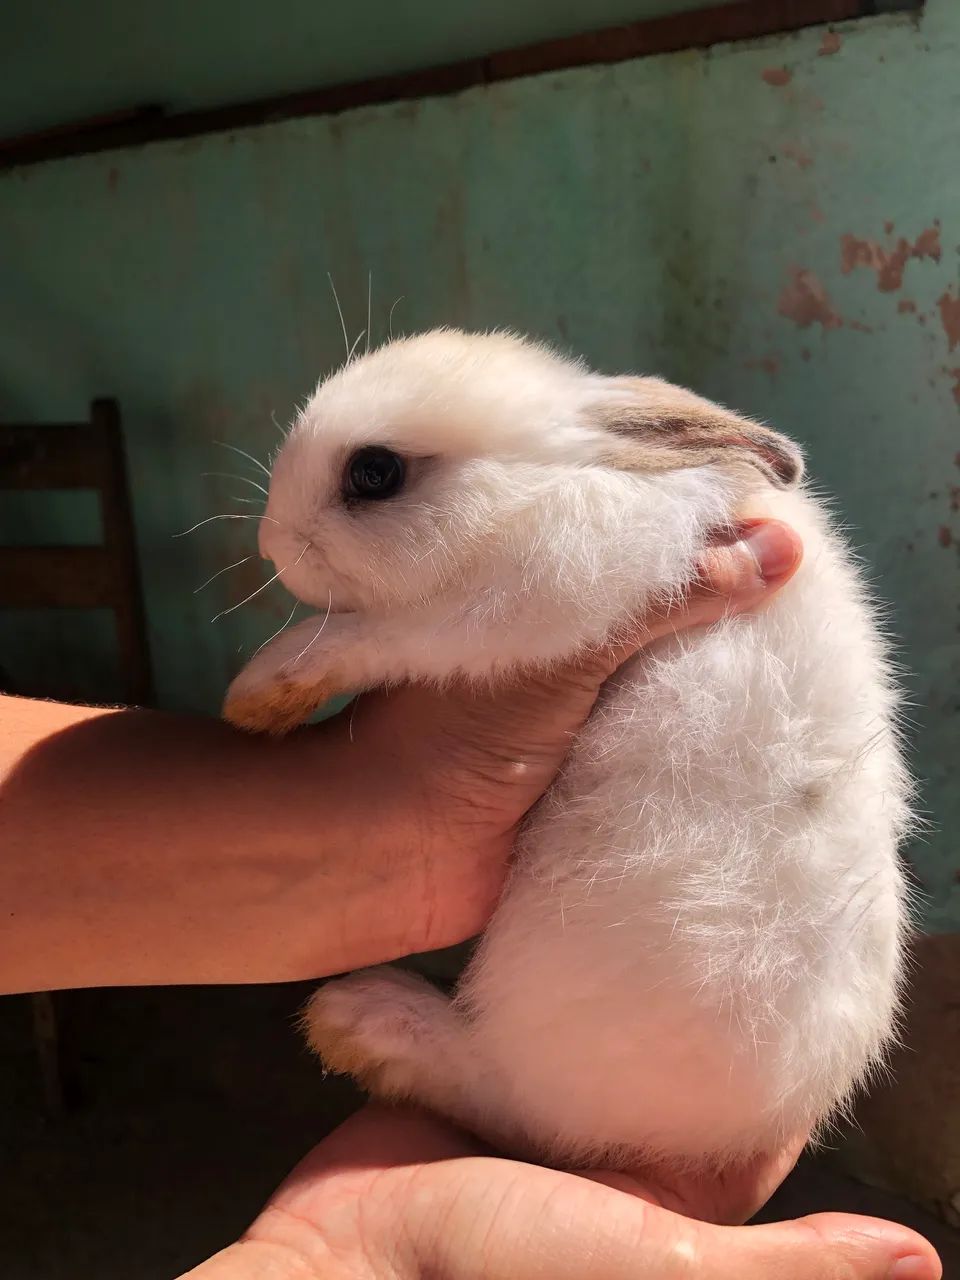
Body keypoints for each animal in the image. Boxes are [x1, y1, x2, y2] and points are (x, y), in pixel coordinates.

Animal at [223, 328, 911, 1175]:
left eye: (374, 473)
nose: (271, 544)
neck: (538, 490)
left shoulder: (525, 603)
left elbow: (386, 635)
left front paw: (264, 688)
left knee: (499, 1095)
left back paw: (358, 1018)